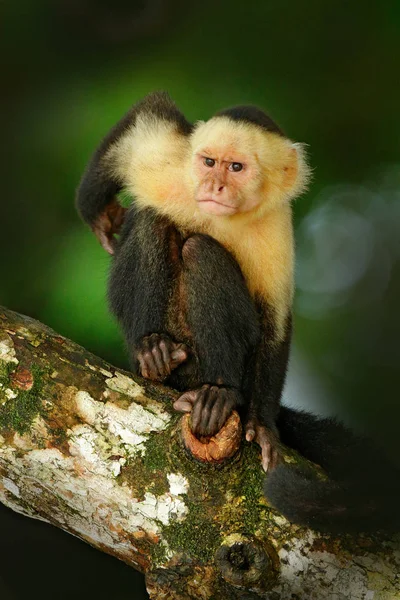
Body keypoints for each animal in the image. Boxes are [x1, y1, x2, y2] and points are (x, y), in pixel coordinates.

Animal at [76, 91, 400, 532]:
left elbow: (275, 324)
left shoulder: (277, 228)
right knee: (155, 220)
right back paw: (154, 351)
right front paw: (96, 208)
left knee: (201, 252)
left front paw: (261, 424)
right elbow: (148, 116)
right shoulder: (170, 166)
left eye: (236, 167)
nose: (214, 184)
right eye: (209, 161)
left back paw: (218, 394)